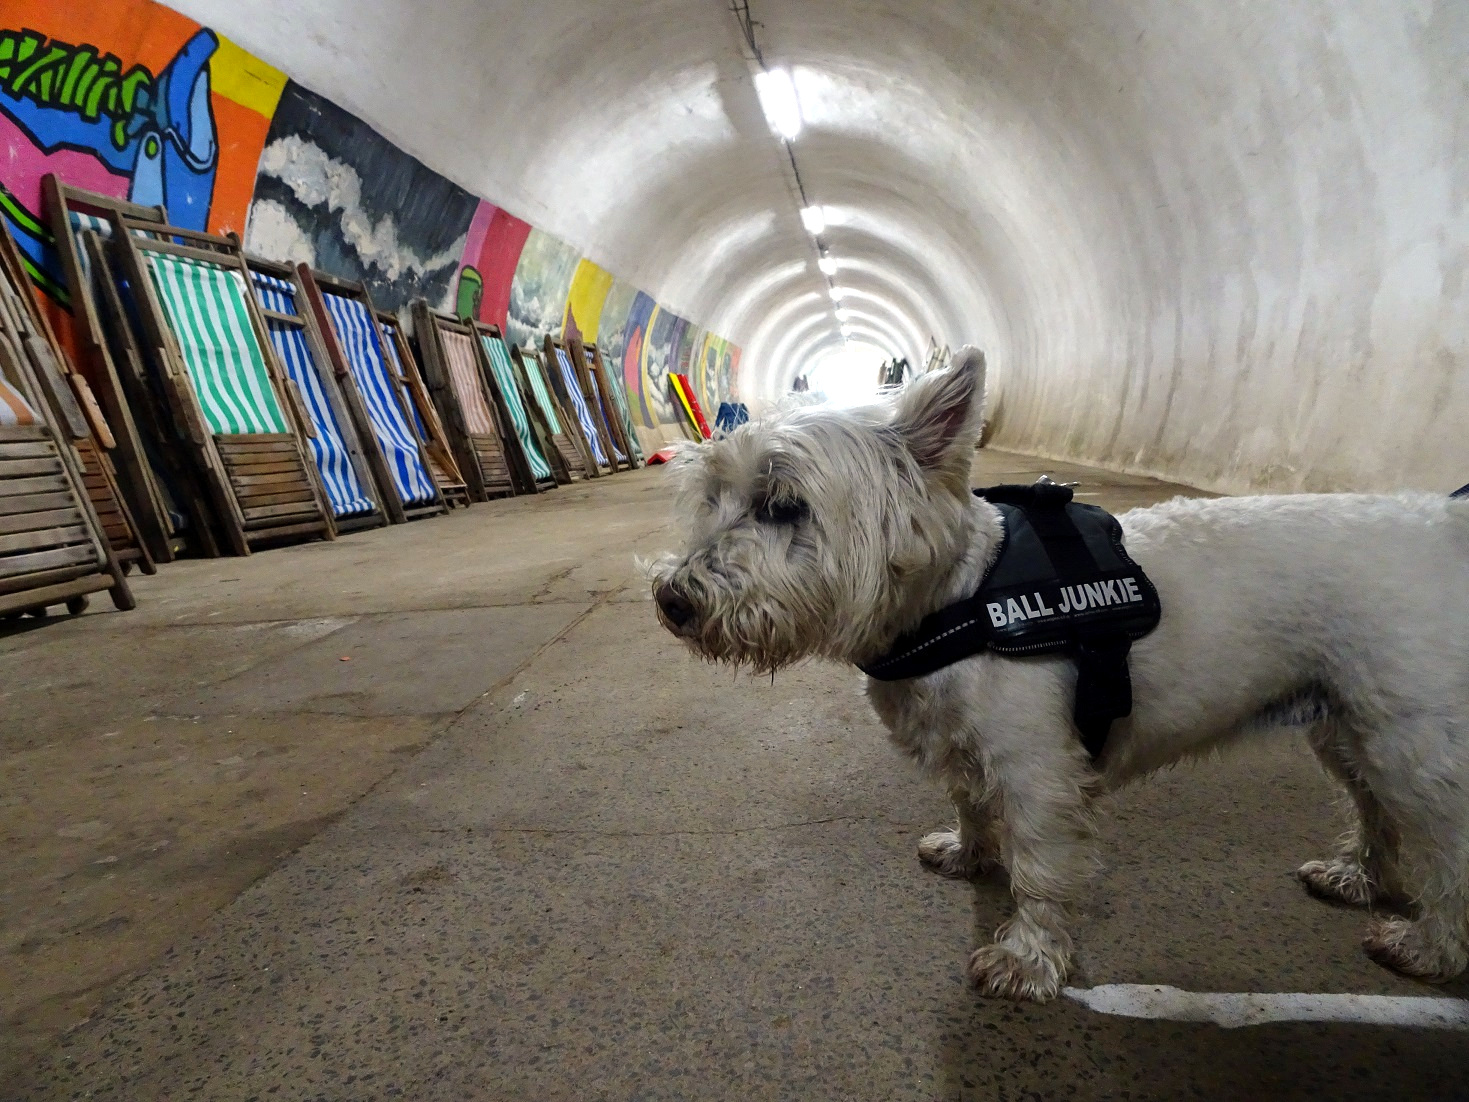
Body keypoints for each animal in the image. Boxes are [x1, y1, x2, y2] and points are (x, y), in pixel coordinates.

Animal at [652, 351, 1469, 999]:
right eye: (714, 498)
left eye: (783, 505)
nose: (671, 600)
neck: (959, 600)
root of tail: (1440, 527)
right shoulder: (968, 748)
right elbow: (968, 804)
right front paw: (968, 853)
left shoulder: (1039, 773)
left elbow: (1041, 870)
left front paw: (1027, 959)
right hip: (1345, 728)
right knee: (1375, 811)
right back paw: (1358, 877)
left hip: (1412, 747)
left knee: (1444, 839)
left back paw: (1430, 946)